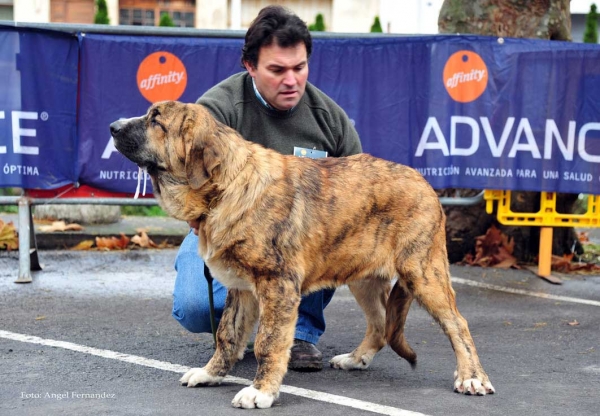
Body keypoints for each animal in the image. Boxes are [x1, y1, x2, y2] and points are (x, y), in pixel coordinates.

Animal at [110, 101, 494, 410]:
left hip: (423, 272)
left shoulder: (277, 285)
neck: (226, 189)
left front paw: (261, 392)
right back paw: (355, 359)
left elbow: (268, 342)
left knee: (457, 323)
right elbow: (227, 335)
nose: (112, 126)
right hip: (364, 279)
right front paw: (211, 374)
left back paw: (472, 377)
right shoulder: (242, 290)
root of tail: (426, 184)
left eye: (156, 120)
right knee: (381, 323)